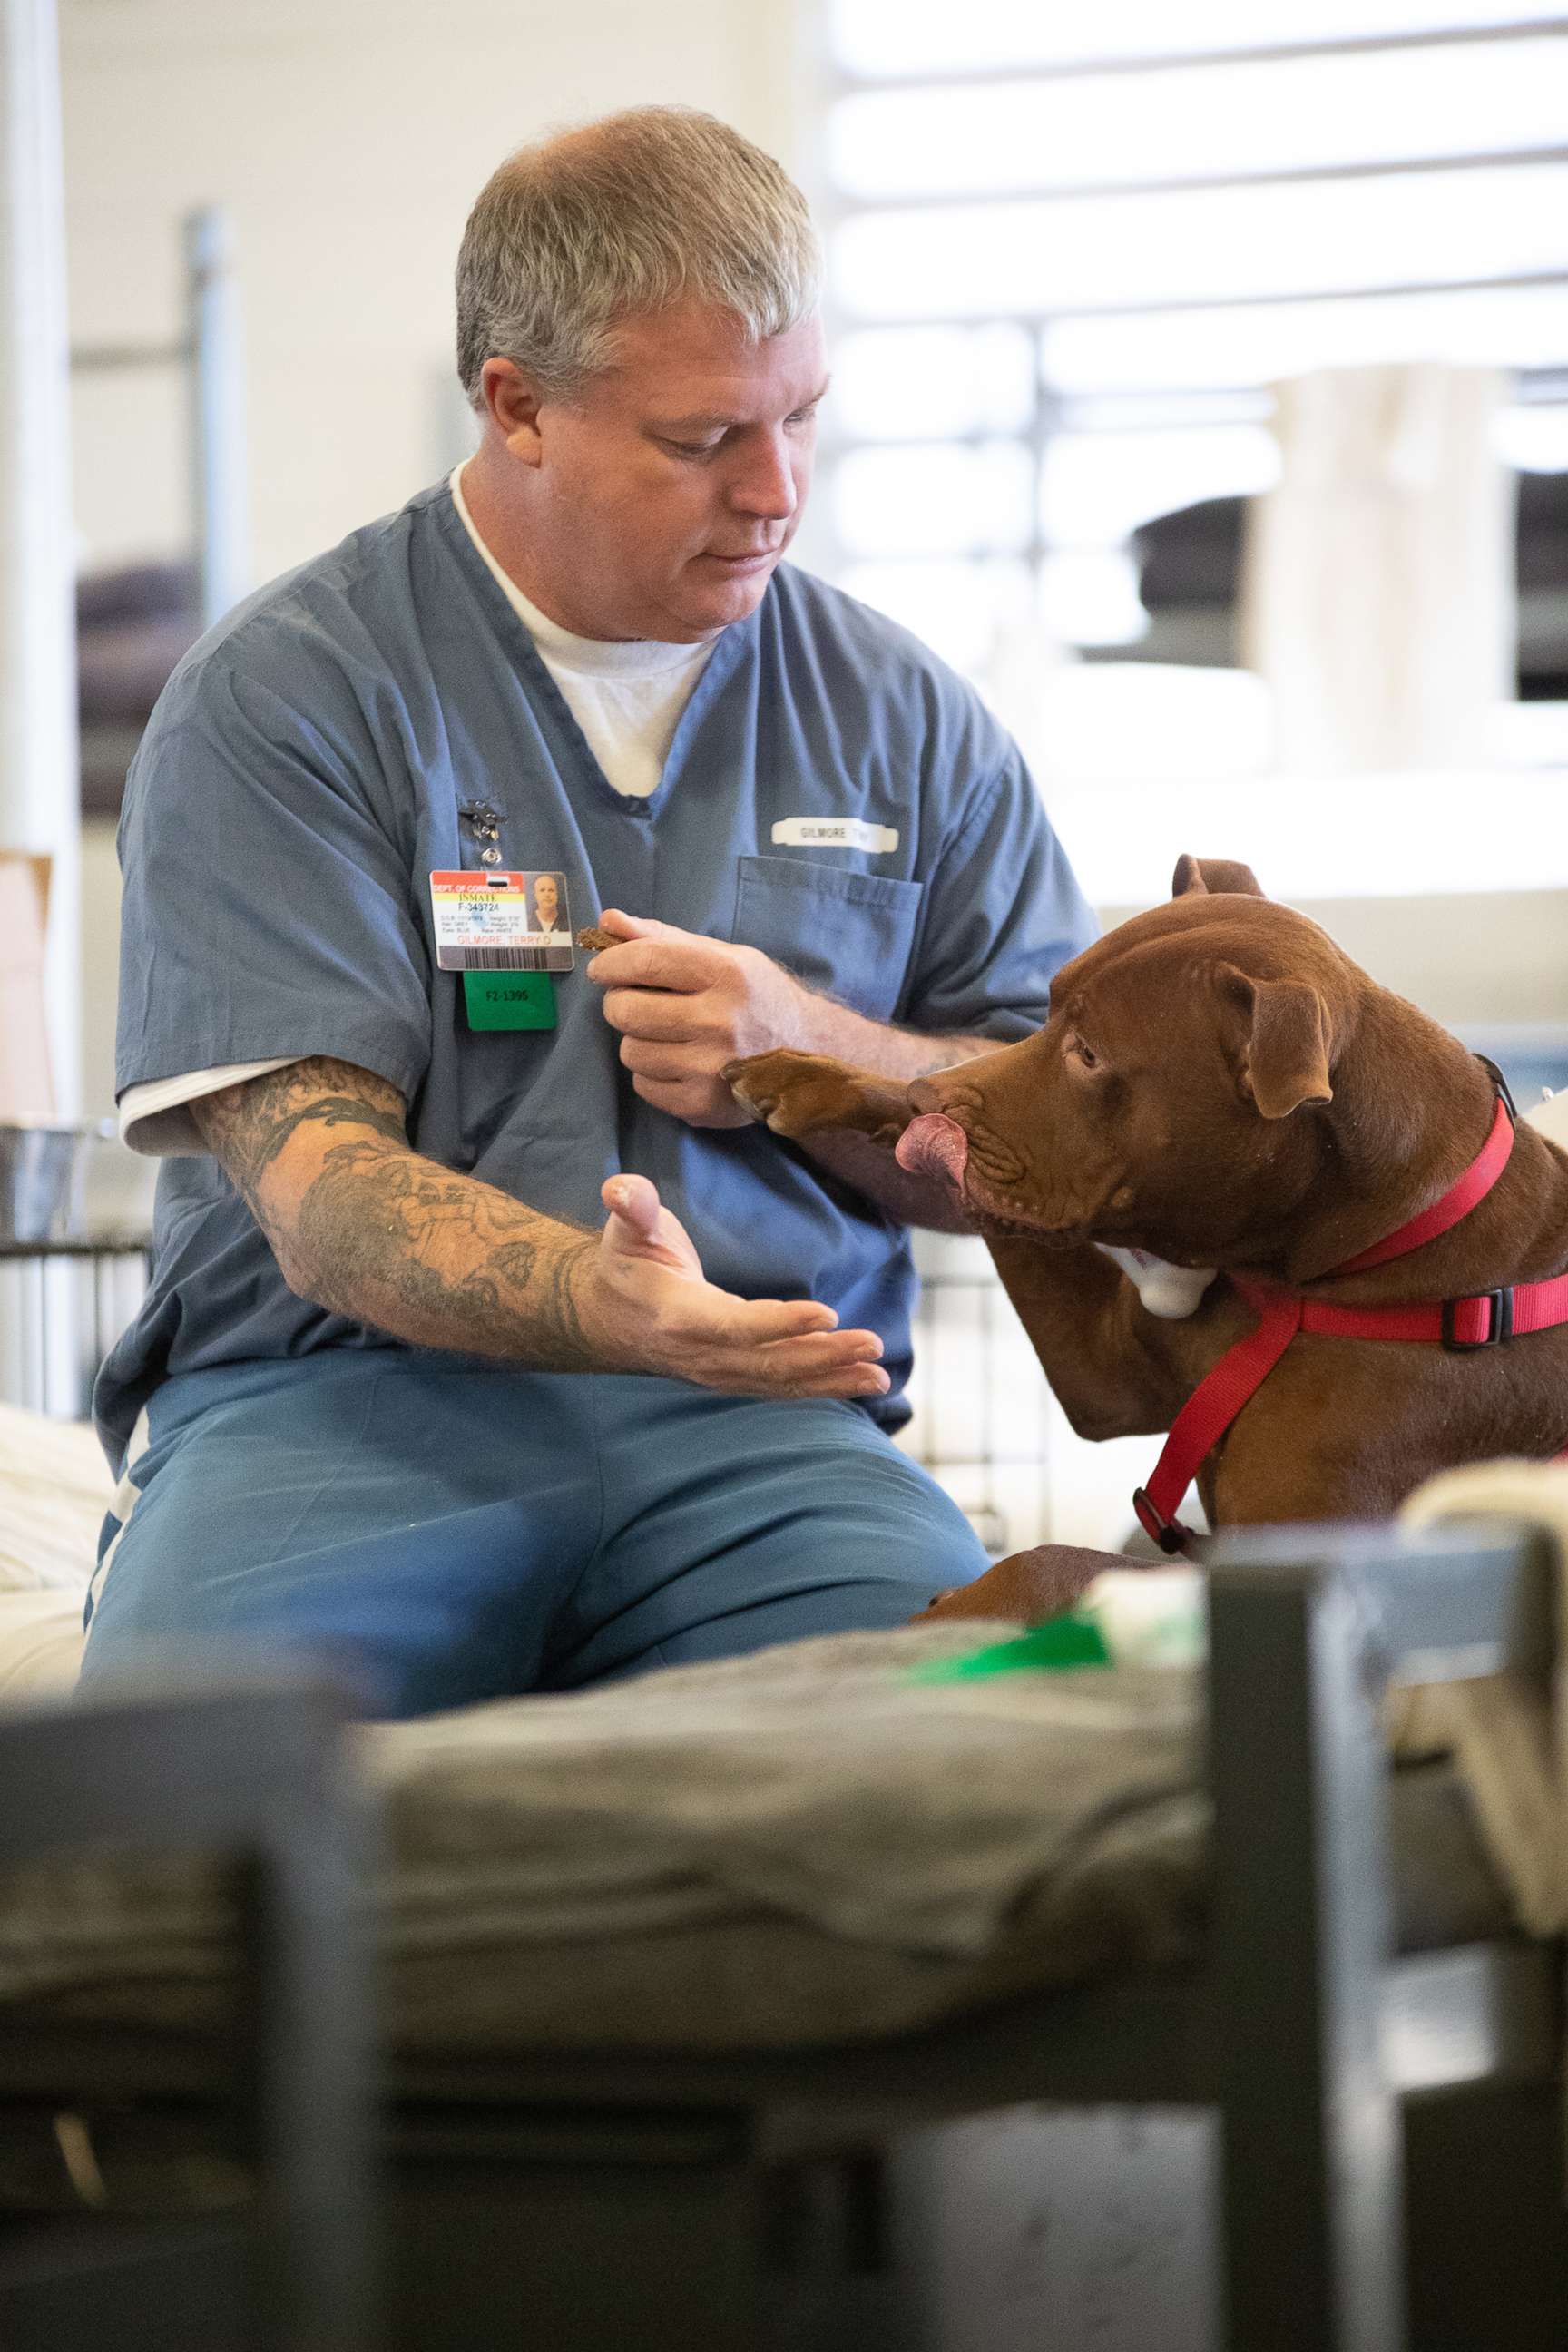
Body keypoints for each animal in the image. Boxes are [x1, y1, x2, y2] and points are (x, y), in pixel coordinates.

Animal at [729, 860, 1568, 1618]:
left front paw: (953, 1611)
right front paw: (812, 1076)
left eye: (1090, 1054)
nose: (927, 1097)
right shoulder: (1105, 1374)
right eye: (1049, 1015)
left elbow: (1054, 1562)